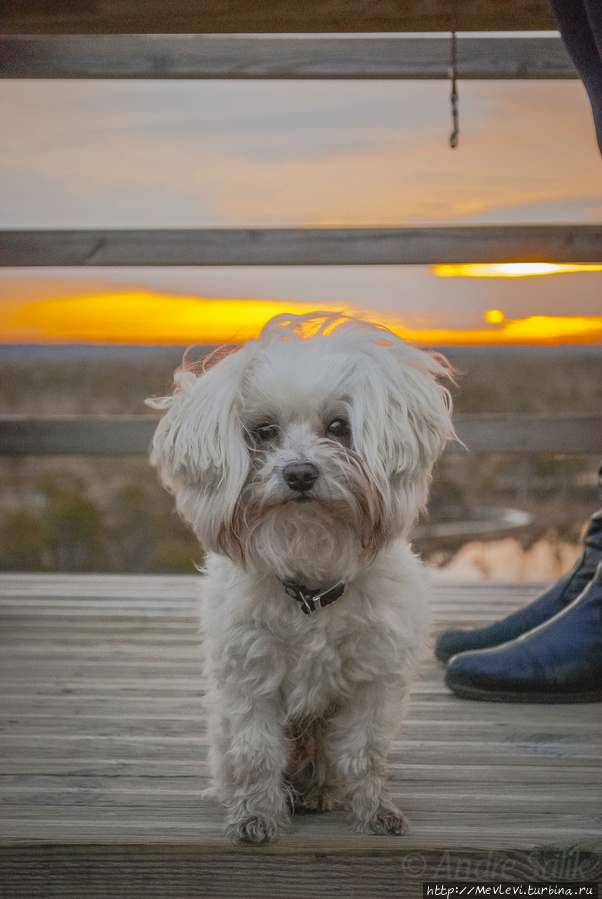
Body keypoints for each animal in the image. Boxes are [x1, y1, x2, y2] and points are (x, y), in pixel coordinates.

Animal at [148, 312, 452, 844]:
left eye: (338, 426)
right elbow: (257, 754)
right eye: (264, 431)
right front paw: (254, 816)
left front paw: (374, 811)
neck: (311, 582)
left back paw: (317, 793)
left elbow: (362, 753)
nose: (300, 473)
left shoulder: (372, 686)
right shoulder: (252, 683)